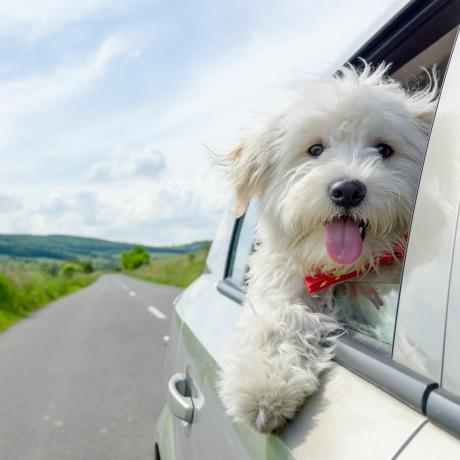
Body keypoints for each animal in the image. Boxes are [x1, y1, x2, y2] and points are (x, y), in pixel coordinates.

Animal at [219, 63, 438, 434]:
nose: (347, 190)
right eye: (315, 150)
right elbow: (277, 318)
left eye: (384, 150)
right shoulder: (284, 280)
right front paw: (264, 384)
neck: (345, 270)